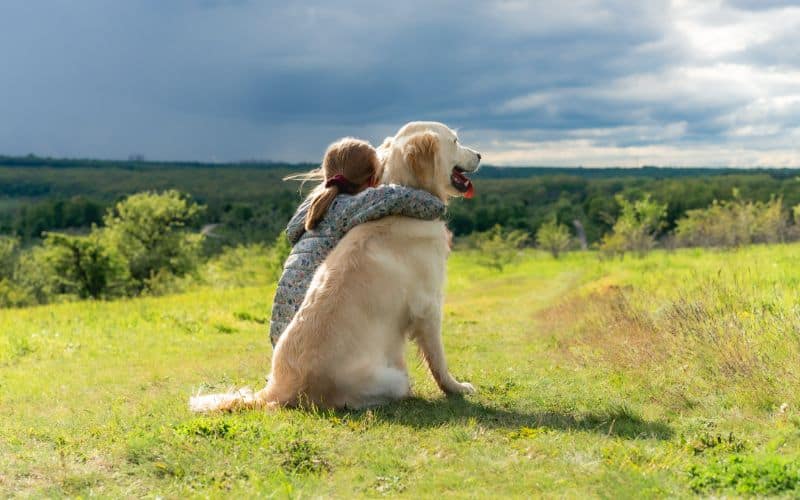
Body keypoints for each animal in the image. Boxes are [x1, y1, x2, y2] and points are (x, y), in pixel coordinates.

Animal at [192, 121, 482, 410]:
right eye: (455, 141)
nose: (480, 154)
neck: (404, 207)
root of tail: (277, 390)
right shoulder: (428, 307)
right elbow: (438, 361)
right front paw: (456, 388)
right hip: (392, 379)